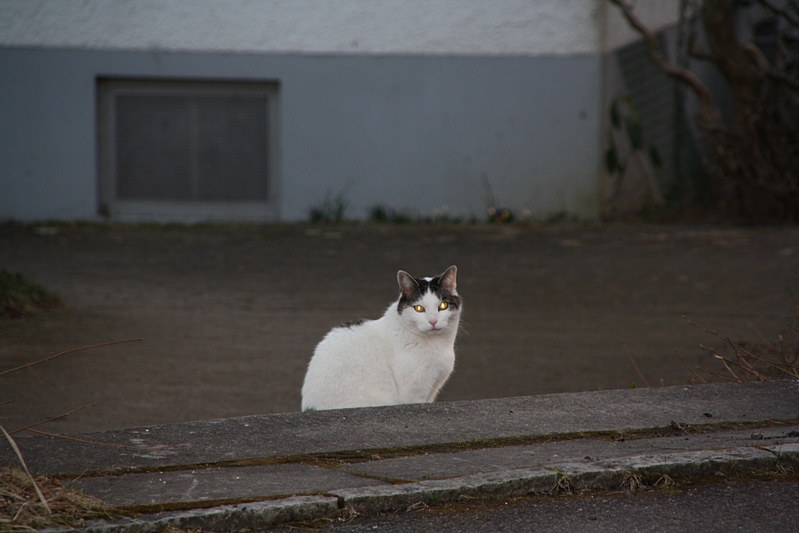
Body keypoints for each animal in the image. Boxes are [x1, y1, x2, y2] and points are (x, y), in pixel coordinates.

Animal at [300, 266, 462, 412]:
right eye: (419, 308)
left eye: (443, 305)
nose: (433, 321)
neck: (439, 344)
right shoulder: (413, 394)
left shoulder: (431, 391)